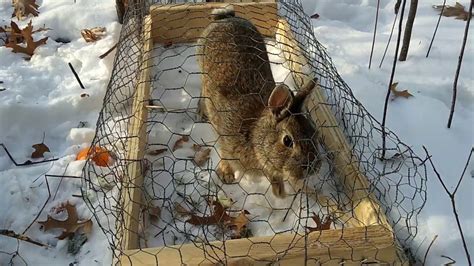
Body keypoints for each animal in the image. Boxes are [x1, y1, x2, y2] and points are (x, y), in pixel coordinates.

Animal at [194, 5, 320, 197]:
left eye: (314, 133)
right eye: (287, 141)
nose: (312, 168)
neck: (254, 136)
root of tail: (226, 18)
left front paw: (279, 190)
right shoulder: (224, 136)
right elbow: (224, 154)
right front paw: (226, 174)